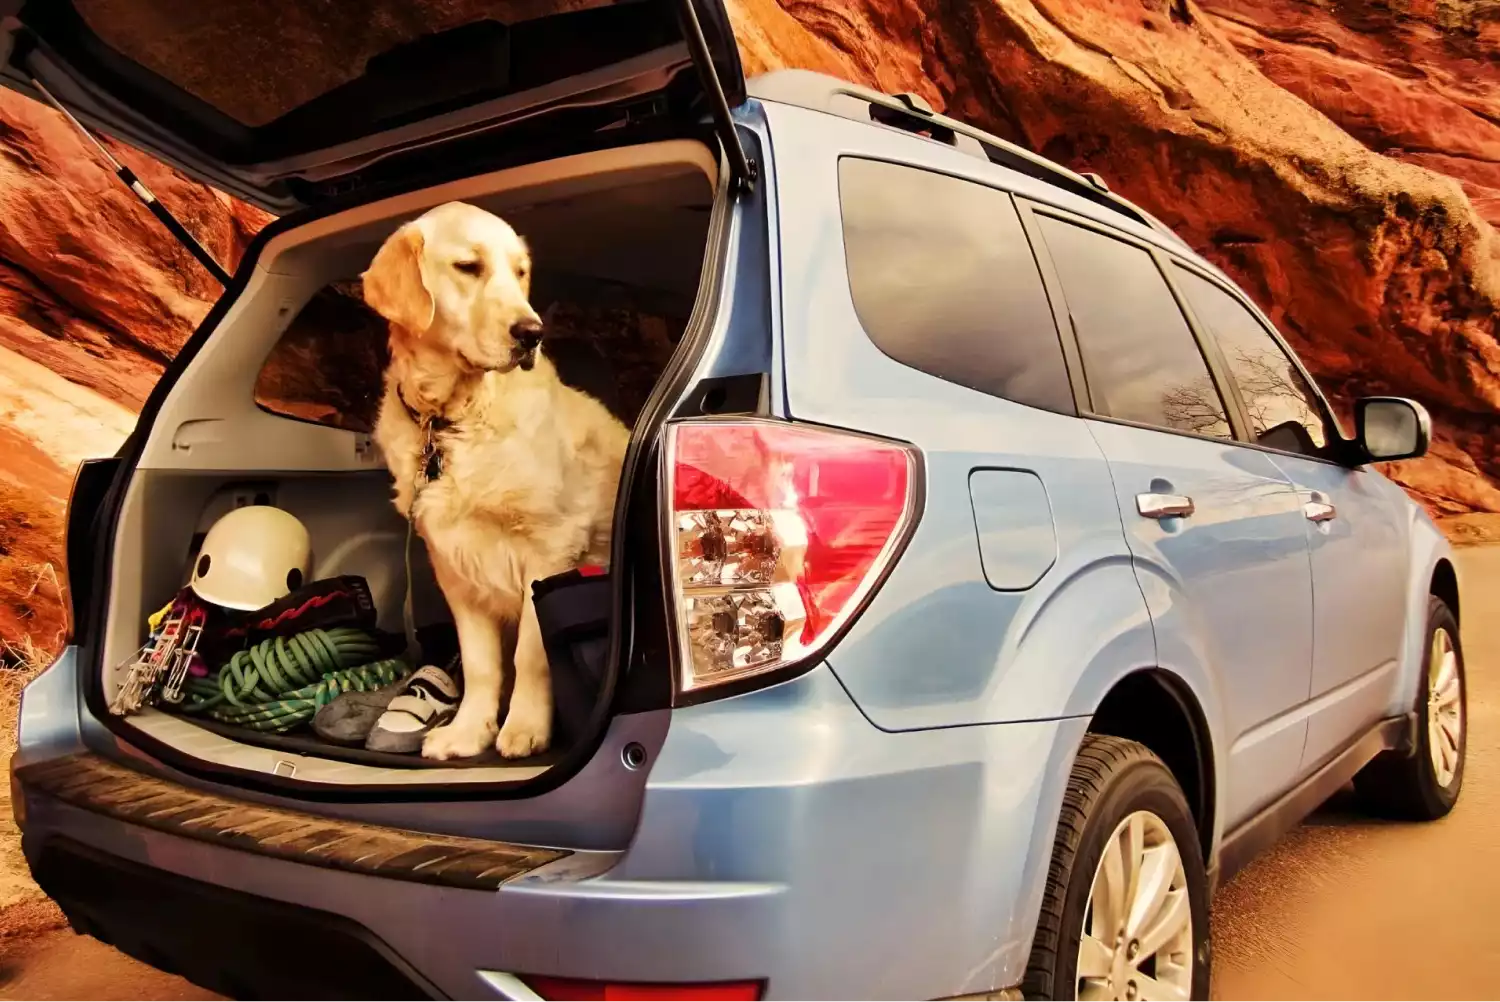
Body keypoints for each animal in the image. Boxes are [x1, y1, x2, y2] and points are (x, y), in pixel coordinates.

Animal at [366, 205, 630, 768]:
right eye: (469, 267)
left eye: (520, 271)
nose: (532, 332)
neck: (450, 419)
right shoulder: (453, 565)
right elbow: (481, 664)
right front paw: (468, 732)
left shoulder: (549, 553)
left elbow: (531, 652)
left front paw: (525, 728)